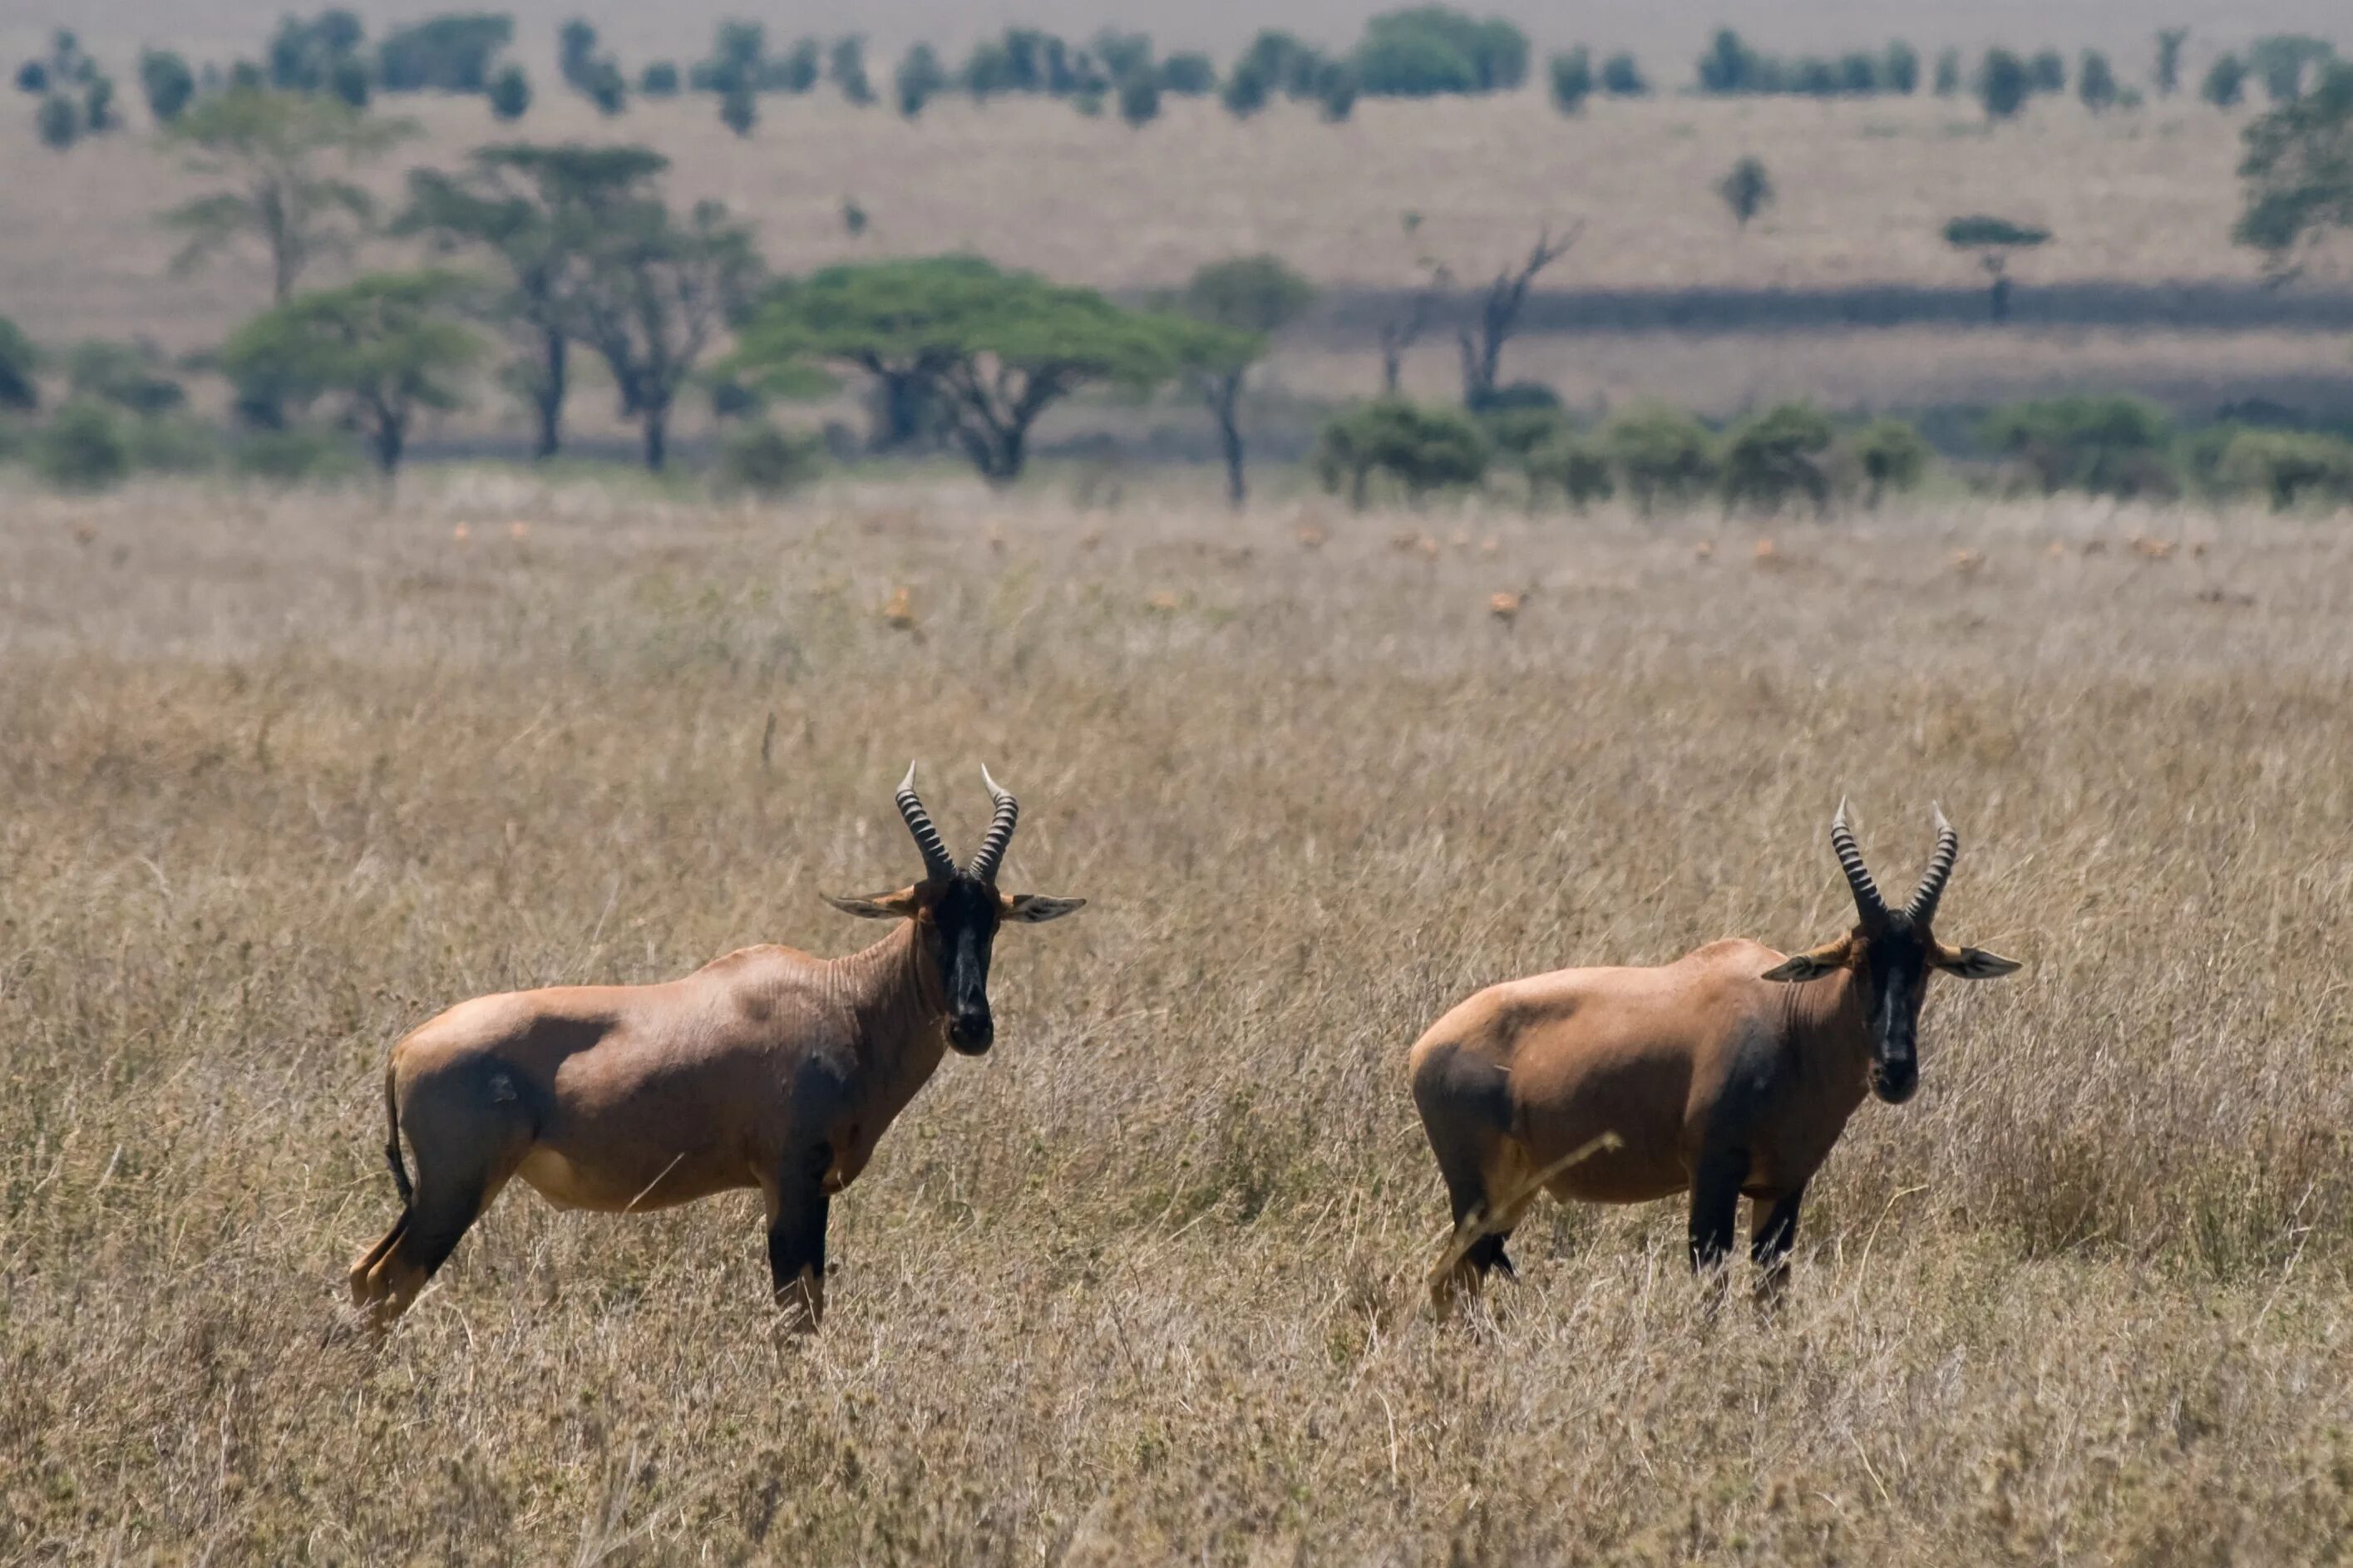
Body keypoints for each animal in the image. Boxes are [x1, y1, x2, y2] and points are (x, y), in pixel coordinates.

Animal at [348, 762, 1082, 1328]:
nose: (971, 1026)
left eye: (993, 920)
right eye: (927, 916)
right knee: (389, 1281)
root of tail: (408, 1046)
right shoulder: (792, 1176)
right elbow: (797, 1311)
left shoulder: (795, 1187)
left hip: (434, 1191)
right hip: (456, 1188)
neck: (840, 996)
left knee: (364, 1274)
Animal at [1402, 805, 2014, 1309]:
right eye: (1857, 961)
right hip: (1478, 1193)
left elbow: (1769, 1295)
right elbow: (1710, 1289)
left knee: (1452, 1278)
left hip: (1513, 1194)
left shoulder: (1783, 1186)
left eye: (1925, 963)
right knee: (1451, 1278)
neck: (1787, 1017)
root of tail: (1424, 1046)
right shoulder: (1712, 1173)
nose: (1896, 1073)